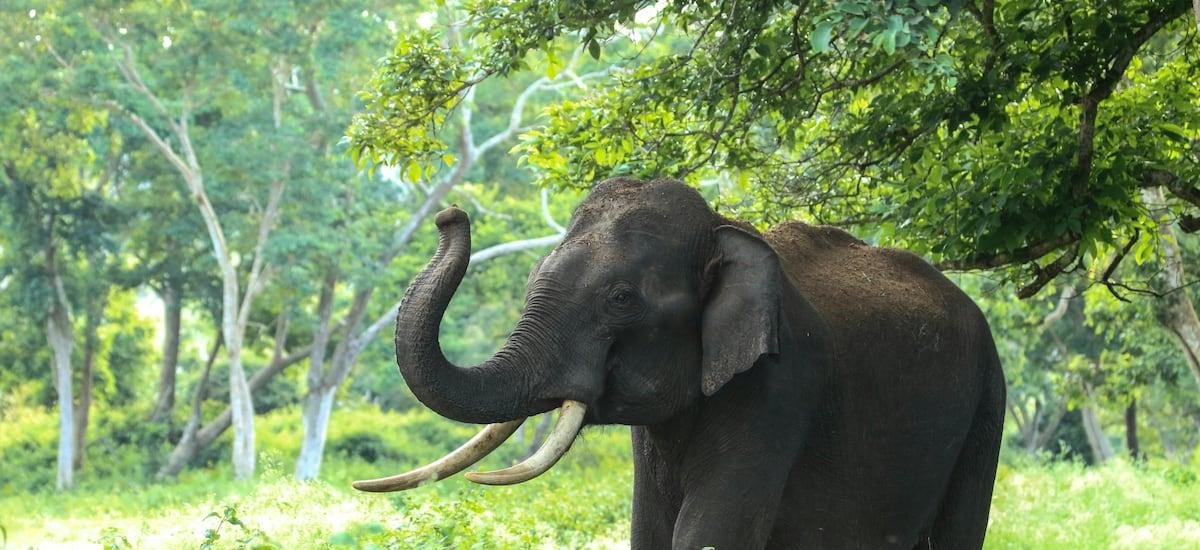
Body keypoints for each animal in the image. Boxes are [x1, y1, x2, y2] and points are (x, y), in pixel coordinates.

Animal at [354, 177, 1006, 549]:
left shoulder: (780, 385)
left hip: (988, 403)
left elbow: (711, 534)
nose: (450, 215)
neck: (723, 229)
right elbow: (649, 531)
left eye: (621, 299)